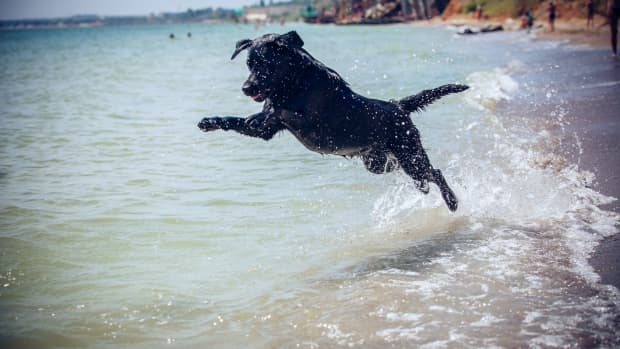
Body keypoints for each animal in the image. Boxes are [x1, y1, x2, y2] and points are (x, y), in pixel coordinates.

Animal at [199, 31, 464, 211]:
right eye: (249, 64)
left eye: (266, 64)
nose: (246, 88)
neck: (295, 82)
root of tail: (398, 105)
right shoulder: (266, 131)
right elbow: (235, 120)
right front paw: (210, 121)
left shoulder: (314, 127)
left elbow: (281, 112)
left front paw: (261, 113)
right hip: (381, 163)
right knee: (423, 177)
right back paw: (424, 188)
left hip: (409, 155)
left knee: (435, 172)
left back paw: (451, 200)